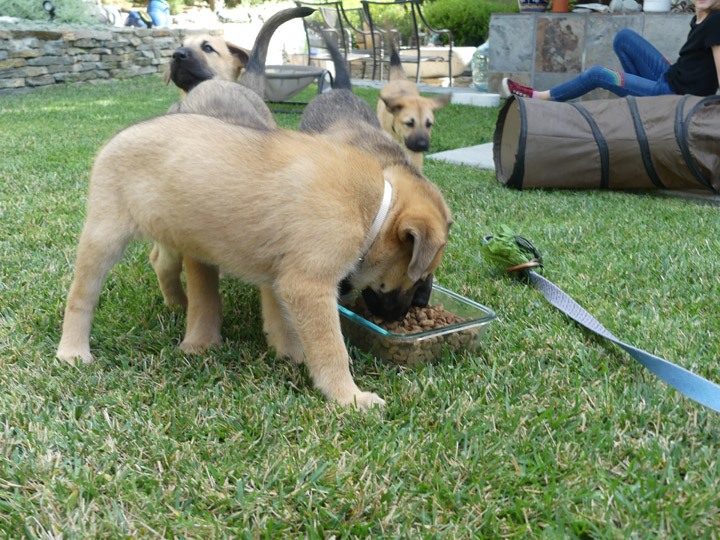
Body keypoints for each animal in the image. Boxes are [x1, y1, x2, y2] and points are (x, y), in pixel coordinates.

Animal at [57, 115, 450, 410]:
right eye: (420, 276)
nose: (412, 311)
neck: (375, 209)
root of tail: (114, 139)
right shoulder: (307, 285)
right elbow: (331, 349)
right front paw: (348, 397)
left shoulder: (282, 279)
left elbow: (283, 323)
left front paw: (293, 356)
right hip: (104, 236)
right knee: (80, 296)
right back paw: (72, 351)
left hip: (169, 228)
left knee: (161, 261)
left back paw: (178, 302)